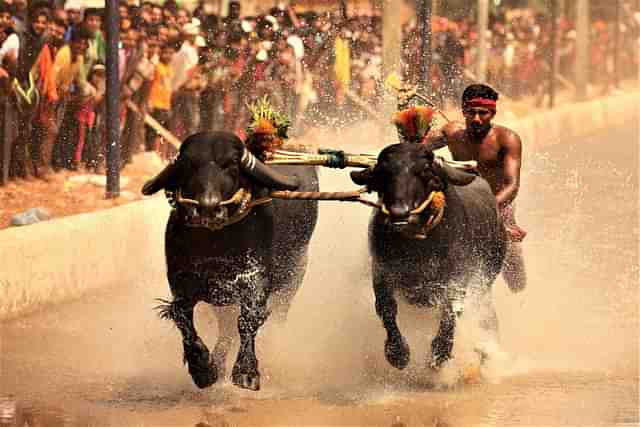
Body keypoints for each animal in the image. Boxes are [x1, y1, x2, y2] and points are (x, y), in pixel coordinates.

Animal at [142, 133, 318, 392]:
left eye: (231, 165)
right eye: (189, 164)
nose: (208, 208)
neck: (216, 242)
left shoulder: (255, 281)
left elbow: (247, 320)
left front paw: (246, 372)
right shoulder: (181, 283)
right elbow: (183, 319)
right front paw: (203, 369)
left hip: (293, 278)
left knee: (275, 317)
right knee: (225, 330)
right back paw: (218, 361)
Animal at [350, 144, 504, 372]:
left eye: (424, 171)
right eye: (384, 172)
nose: (399, 212)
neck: (418, 246)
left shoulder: (457, 276)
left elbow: (451, 310)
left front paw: (440, 352)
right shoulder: (381, 271)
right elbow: (387, 308)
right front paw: (397, 353)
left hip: (486, 282)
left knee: (486, 315)